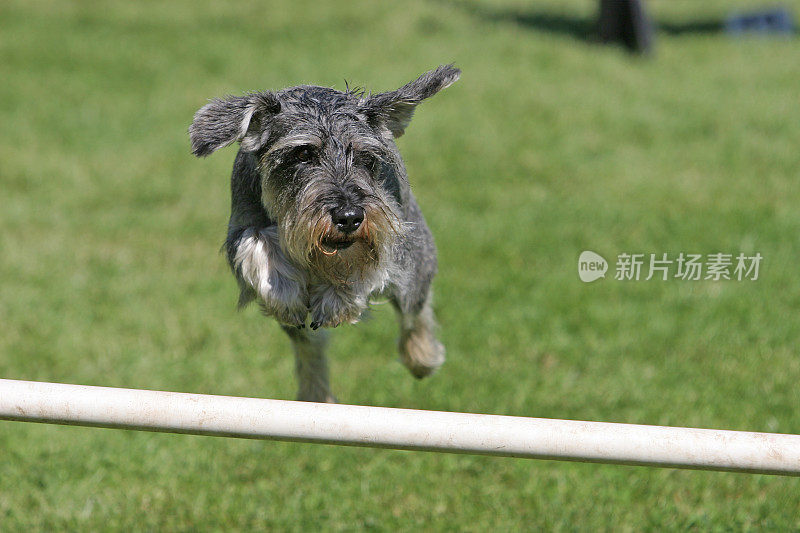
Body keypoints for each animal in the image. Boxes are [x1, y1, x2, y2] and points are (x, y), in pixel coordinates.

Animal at [190, 64, 460, 402]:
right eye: (303, 154)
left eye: (366, 157)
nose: (349, 218)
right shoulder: (240, 227)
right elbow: (257, 244)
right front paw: (284, 291)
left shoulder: (391, 235)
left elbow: (370, 266)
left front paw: (338, 299)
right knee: (310, 348)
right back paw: (316, 394)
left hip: (417, 264)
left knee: (416, 309)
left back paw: (422, 358)